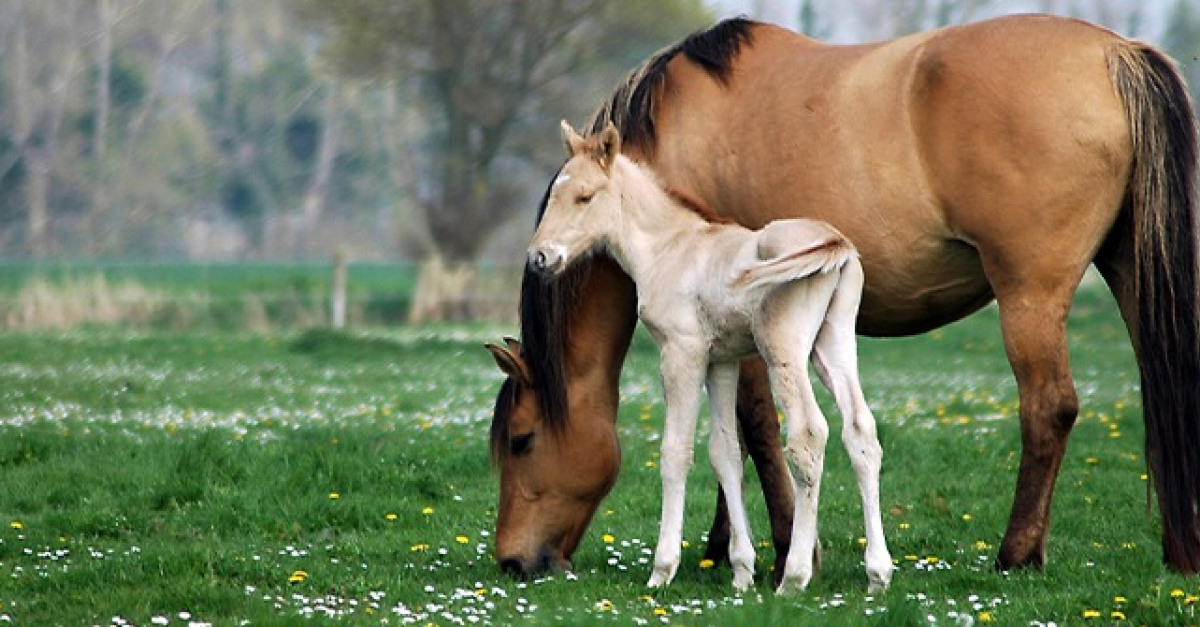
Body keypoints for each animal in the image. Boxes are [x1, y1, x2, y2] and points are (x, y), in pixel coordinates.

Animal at [525, 120, 892, 590]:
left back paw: (794, 576)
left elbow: (675, 453)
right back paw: (878, 574)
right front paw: (741, 571)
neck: (669, 248)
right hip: (834, 344)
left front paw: (662, 571)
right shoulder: (722, 360)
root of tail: (836, 242)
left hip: (783, 347)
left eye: (585, 196)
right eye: (556, 193)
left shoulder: (682, 352)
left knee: (808, 435)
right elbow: (726, 453)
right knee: (861, 432)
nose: (540, 257)